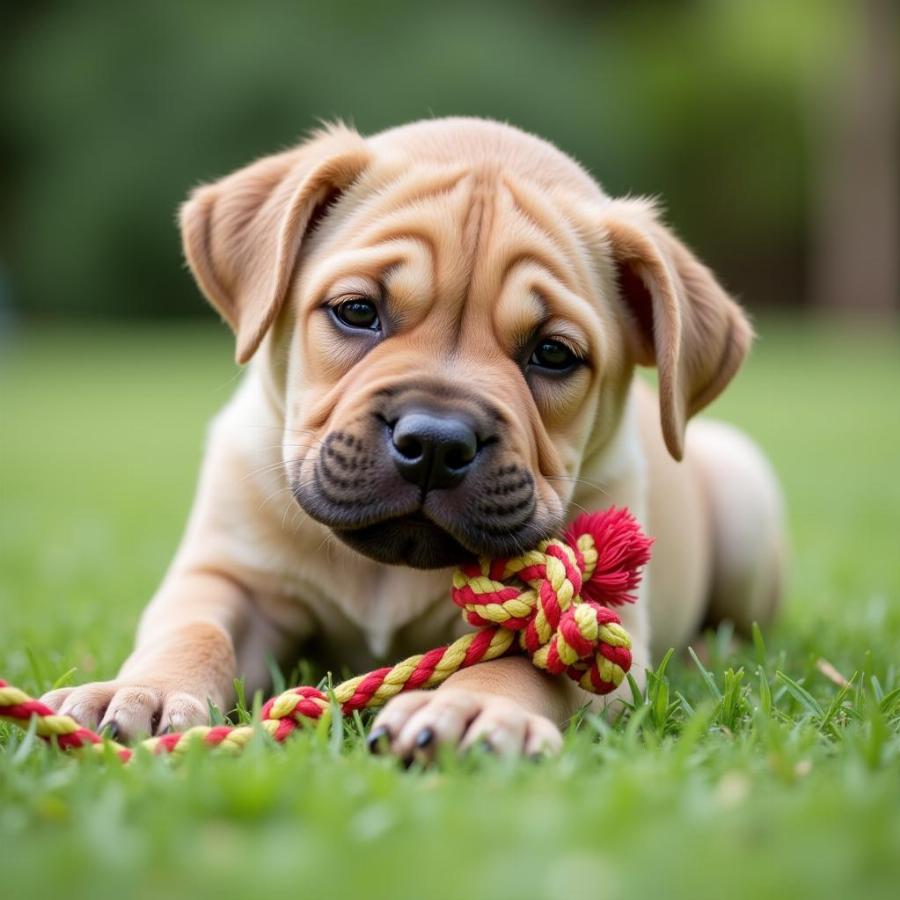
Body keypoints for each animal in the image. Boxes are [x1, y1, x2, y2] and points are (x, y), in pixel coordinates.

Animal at [45, 116, 784, 756]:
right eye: (356, 311)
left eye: (553, 353)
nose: (435, 443)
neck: (383, 571)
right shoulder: (227, 574)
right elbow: (193, 630)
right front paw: (141, 691)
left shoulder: (611, 628)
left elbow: (532, 659)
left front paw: (472, 707)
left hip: (747, 504)